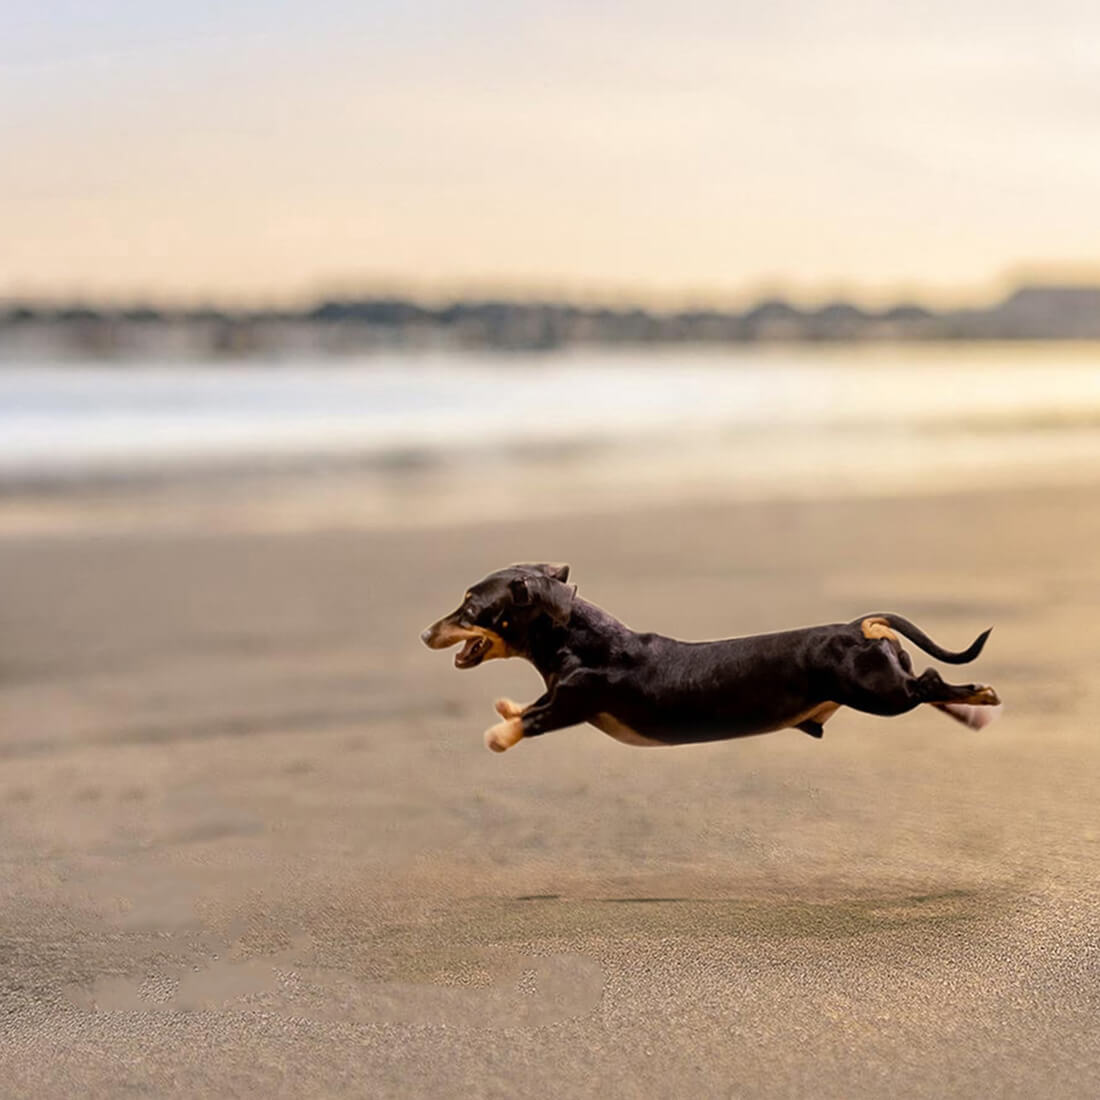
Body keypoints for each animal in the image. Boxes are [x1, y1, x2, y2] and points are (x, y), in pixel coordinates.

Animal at [418, 563, 998, 752]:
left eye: (471, 607)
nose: (424, 633)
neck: (583, 643)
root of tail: (860, 625)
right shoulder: (559, 692)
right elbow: (530, 706)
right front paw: (508, 712)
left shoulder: (577, 701)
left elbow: (537, 719)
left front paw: (501, 733)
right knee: (932, 688)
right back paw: (971, 709)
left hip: (881, 694)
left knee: (929, 682)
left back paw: (981, 693)